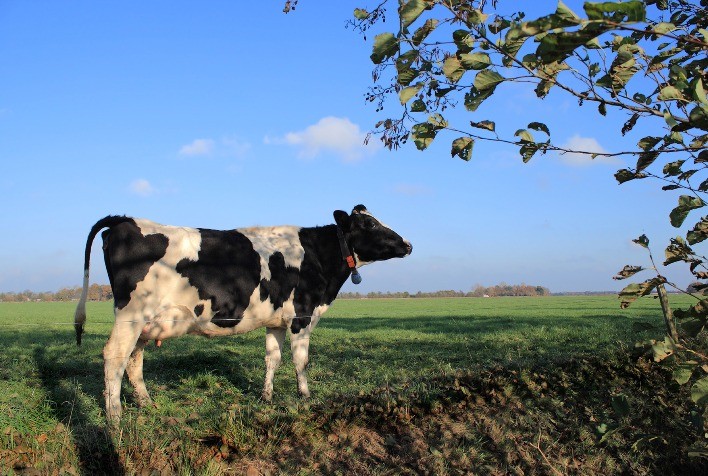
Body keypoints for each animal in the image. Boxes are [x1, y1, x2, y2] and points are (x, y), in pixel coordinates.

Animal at [73, 205, 412, 423]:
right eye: (369, 225)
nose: (407, 244)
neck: (318, 256)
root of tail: (124, 220)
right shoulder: (302, 316)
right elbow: (300, 360)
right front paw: (305, 396)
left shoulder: (276, 321)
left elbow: (272, 358)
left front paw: (266, 396)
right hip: (130, 314)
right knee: (114, 355)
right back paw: (114, 417)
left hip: (146, 322)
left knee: (133, 359)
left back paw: (147, 403)